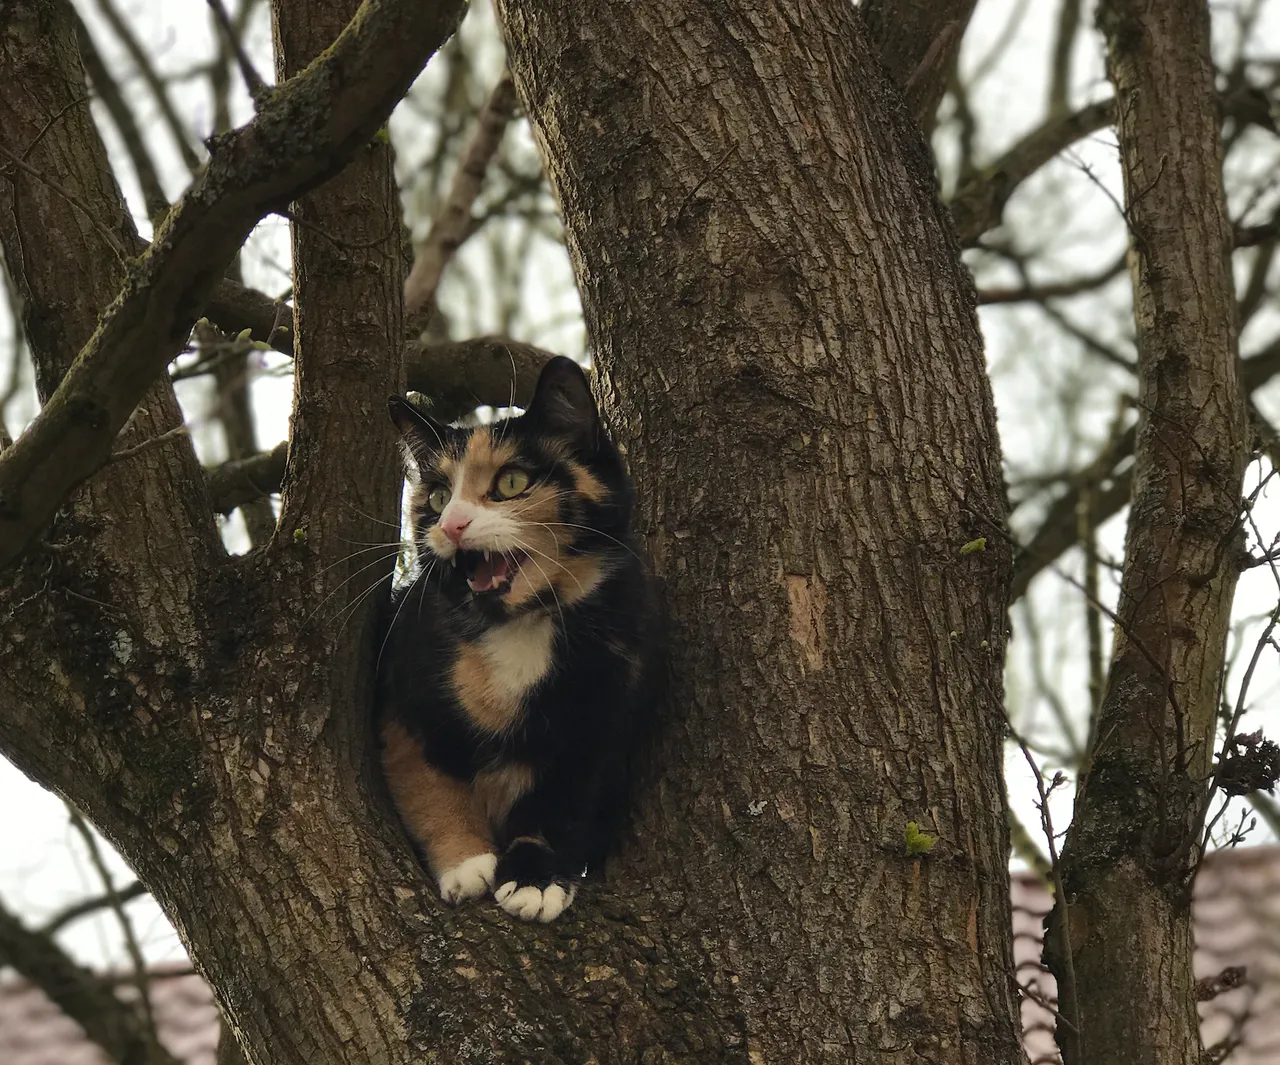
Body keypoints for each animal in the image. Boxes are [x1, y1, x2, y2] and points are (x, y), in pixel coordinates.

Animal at [373, 353, 660, 921]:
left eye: (510, 483)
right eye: (438, 496)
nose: (452, 524)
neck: (520, 624)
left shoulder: (601, 716)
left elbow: (560, 805)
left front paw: (535, 877)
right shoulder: (404, 702)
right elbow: (429, 785)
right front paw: (465, 863)